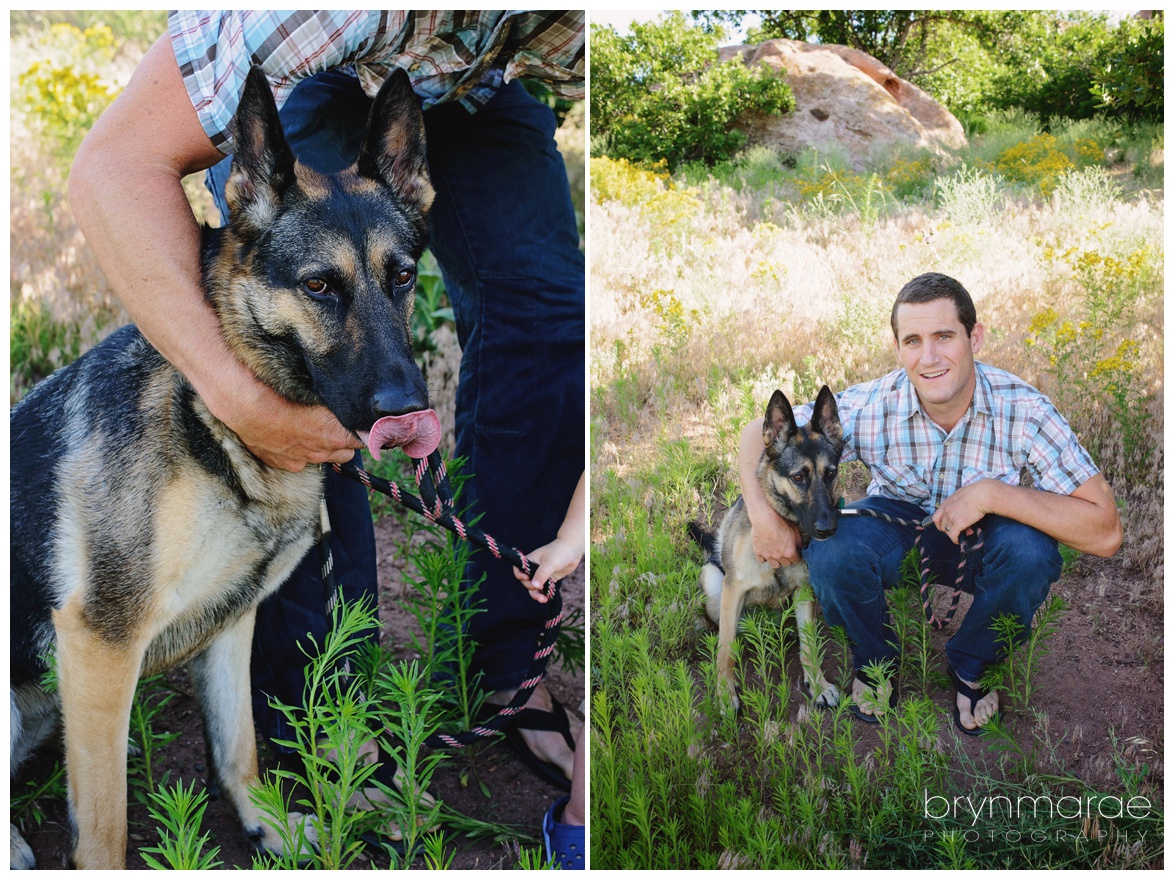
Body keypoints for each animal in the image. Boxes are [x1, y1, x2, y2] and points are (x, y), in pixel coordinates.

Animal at [10, 67, 441, 868]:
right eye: (321, 286)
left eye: (401, 278)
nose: (410, 410)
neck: (216, 428)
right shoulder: (100, 646)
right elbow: (105, 829)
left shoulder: (234, 621)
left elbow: (237, 747)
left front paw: (268, 827)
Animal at [690, 389, 840, 713]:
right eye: (798, 477)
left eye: (831, 474)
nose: (828, 528)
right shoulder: (734, 589)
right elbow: (725, 650)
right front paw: (725, 694)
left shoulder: (804, 590)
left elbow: (809, 644)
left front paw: (818, 684)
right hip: (713, 581)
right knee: (723, 631)